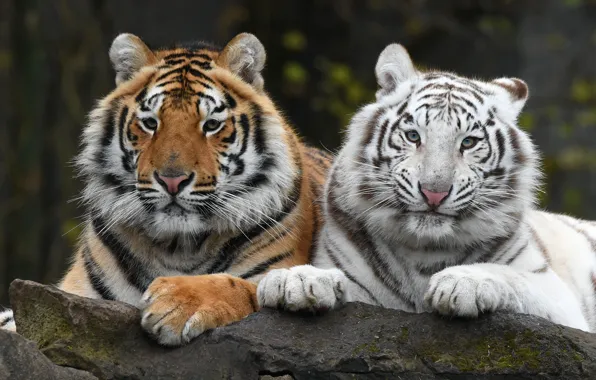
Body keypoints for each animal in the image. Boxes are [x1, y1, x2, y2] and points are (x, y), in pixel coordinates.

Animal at [2, 33, 332, 348]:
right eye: (150, 123)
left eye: (211, 124)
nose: (172, 181)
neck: (178, 246)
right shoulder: (76, 292)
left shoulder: (278, 269)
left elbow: (239, 286)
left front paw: (175, 306)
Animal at [258, 42, 596, 332]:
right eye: (413, 136)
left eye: (468, 142)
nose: (434, 192)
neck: (424, 251)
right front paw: (295, 281)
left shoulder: (558, 299)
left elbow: (508, 274)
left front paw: (460, 284)